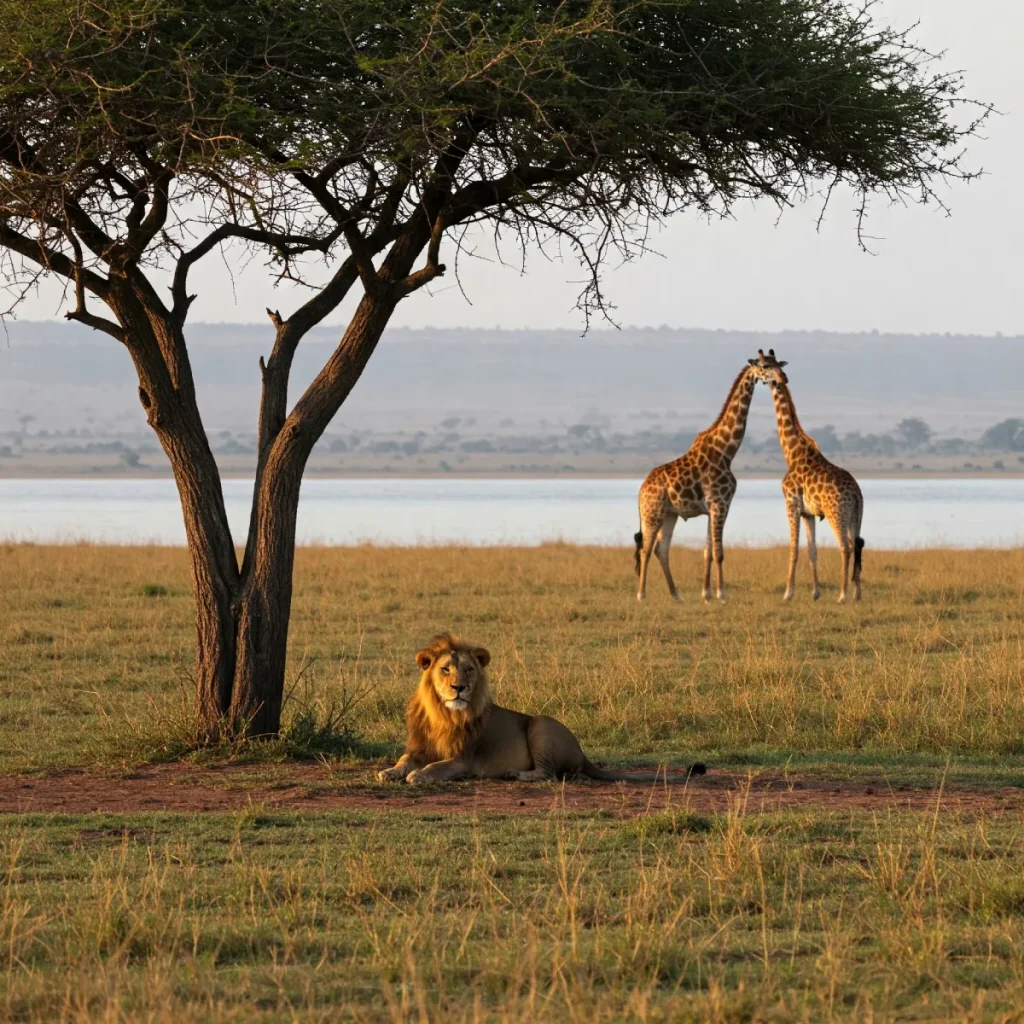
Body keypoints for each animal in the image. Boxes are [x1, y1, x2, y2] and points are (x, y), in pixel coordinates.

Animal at [380, 630, 708, 782]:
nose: (459, 688)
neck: (442, 713)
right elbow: (404, 760)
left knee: (548, 774)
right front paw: (390, 771)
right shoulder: (418, 747)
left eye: (469, 670)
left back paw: (516, 774)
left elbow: (437, 766)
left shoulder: (463, 760)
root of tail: (583, 753)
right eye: (446, 669)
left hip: (541, 724)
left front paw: (418, 775)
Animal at [630, 358, 782, 602]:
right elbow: (718, 552)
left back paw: (675, 595)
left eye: (778, 364)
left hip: (669, 514)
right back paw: (642, 594)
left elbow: (707, 551)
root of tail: (641, 490)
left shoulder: (713, 508)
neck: (726, 451)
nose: (782, 378)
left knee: (661, 549)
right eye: (764, 366)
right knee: (646, 548)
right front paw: (721, 594)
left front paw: (707, 593)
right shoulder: (721, 504)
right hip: (652, 512)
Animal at [757, 348, 868, 602]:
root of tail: (856, 494)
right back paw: (856, 593)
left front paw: (788, 593)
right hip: (856, 515)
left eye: (764, 365)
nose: (783, 377)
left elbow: (793, 547)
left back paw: (842, 595)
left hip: (837, 513)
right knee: (858, 542)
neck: (792, 452)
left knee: (845, 546)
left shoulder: (791, 504)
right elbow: (812, 549)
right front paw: (815, 593)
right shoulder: (808, 513)